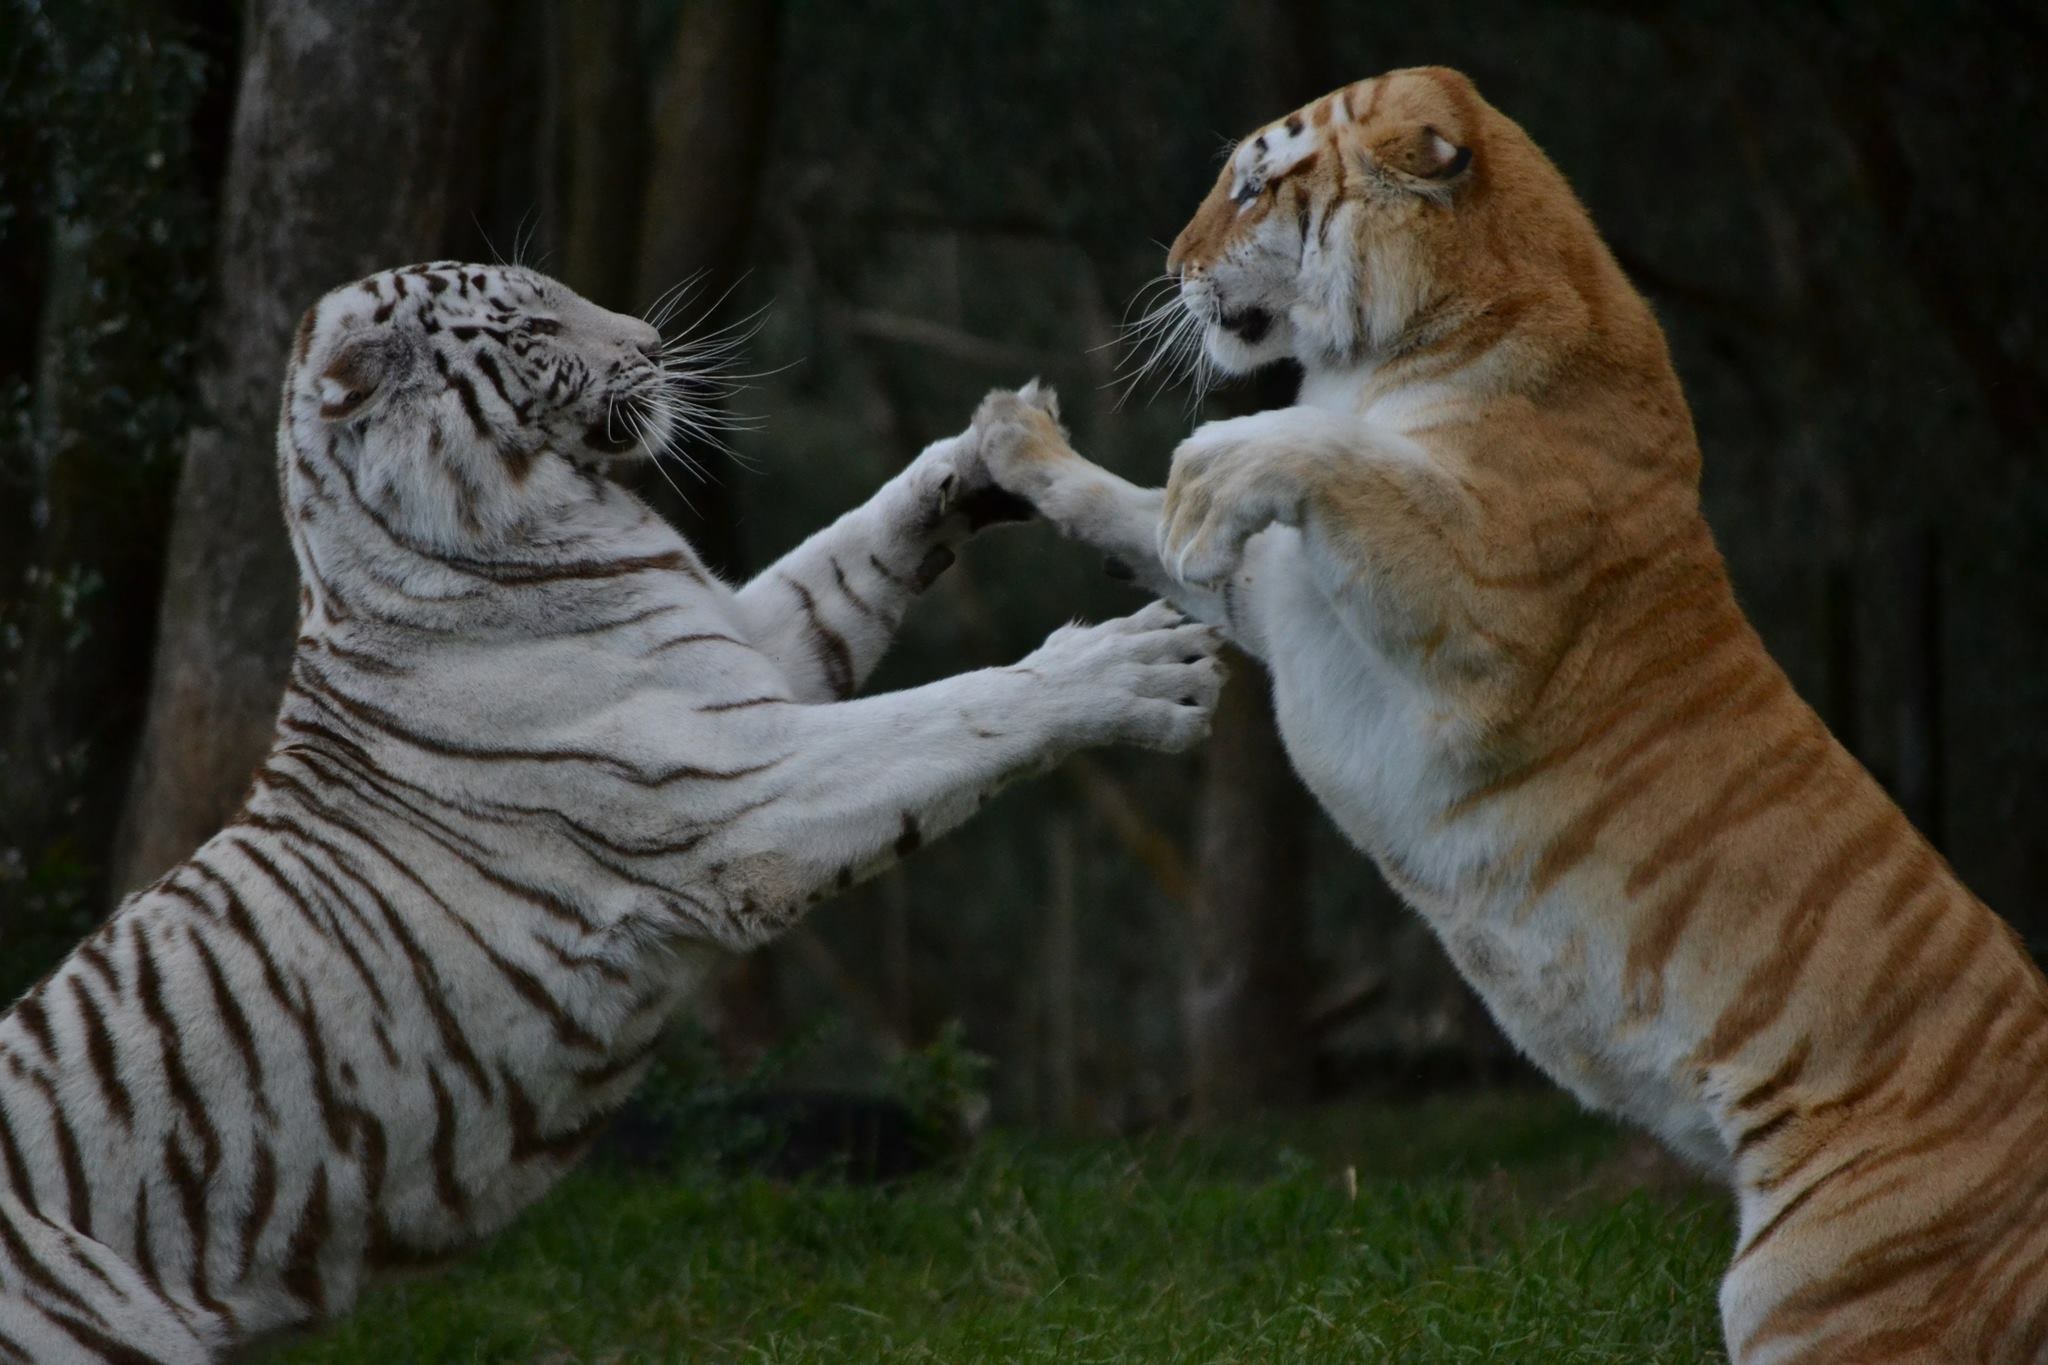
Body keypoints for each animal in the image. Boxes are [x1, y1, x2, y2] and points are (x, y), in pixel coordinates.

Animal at [0, 261, 1220, 1358]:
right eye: (537, 323)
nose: (649, 340)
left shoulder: (743, 655)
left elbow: (847, 557)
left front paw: (989, 450)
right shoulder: (742, 793)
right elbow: (951, 716)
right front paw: (1136, 669)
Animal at [970, 66, 2048, 1365]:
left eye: (1253, 184)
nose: (1172, 267)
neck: (1400, 340)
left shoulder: (1477, 617)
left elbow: (1327, 456)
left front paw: (1203, 467)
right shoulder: (1285, 605)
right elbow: (1130, 512)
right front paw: (1015, 437)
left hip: (1810, 1289)